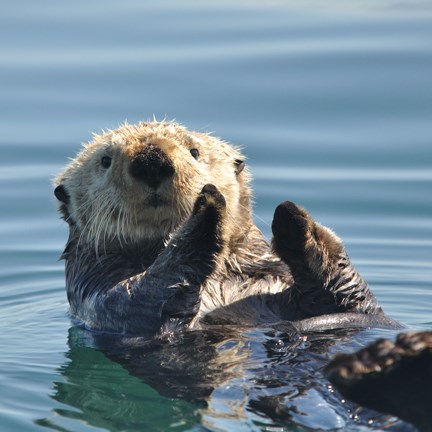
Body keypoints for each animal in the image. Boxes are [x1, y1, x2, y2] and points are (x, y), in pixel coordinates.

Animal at [54, 120, 398, 336]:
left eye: (194, 152)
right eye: (105, 161)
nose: (151, 161)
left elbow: (348, 292)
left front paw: (293, 220)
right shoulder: (102, 299)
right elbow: (146, 292)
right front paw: (208, 208)